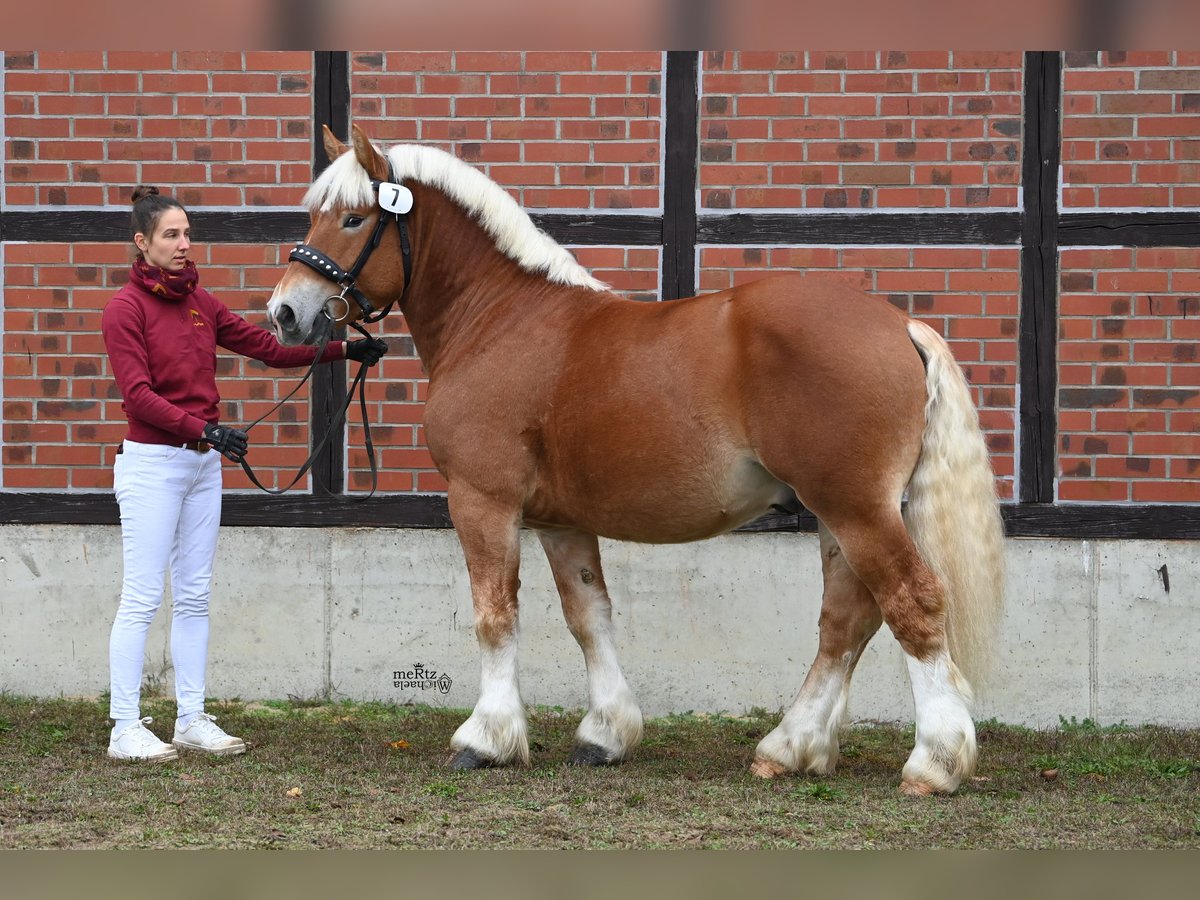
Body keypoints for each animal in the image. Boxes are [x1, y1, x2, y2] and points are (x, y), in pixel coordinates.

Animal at [267, 127, 1008, 796]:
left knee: (912, 602)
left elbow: (494, 614)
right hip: (838, 513)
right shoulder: (560, 521)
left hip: (856, 507)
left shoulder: (483, 501)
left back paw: (935, 762)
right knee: (846, 620)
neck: (501, 319)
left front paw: (487, 738)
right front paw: (606, 735)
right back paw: (791, 747)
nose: (285, 312)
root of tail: (898, 324)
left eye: (353, 217)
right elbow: (588, 616)